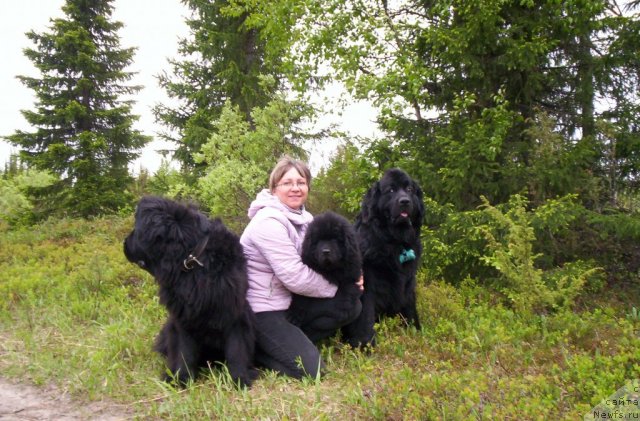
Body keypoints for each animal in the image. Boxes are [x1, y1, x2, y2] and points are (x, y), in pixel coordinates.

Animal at [123, 195, 258, 386]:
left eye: (137, 229)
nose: (124, 244)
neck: (192, 259)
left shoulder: (234, 311)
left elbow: (236, 347)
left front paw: (239, 378)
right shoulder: (183, 315)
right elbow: (184, 350)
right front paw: (181, 377)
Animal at [288, 210, 362, 342]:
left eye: (335, 239)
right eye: (318, 240)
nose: (326, 251)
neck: (330, 269)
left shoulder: (352, 273)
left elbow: (347, 287)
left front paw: (343, 307)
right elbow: (301, 297)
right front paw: (294, 315)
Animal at [342, 168, 428, 348]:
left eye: (409, 189)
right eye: (391, 190)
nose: (405, 201)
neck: (394, 241)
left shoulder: (408, 281)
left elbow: (410, 308)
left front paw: (416, 332)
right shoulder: (367, 284)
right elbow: (365, 315)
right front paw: (364, 344)